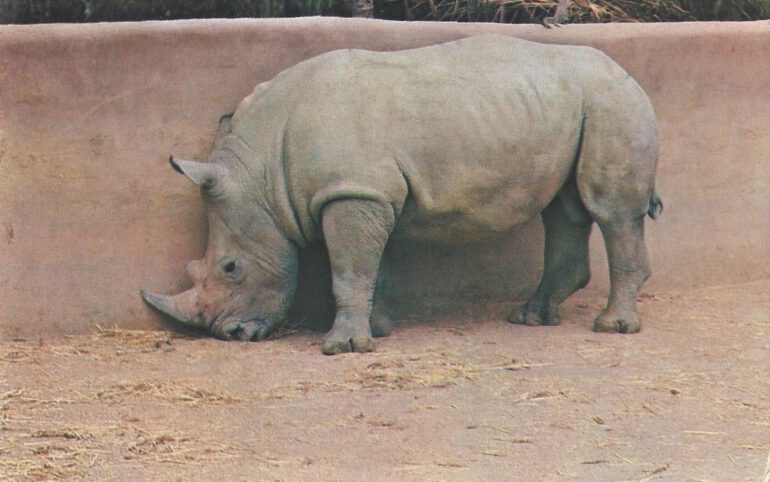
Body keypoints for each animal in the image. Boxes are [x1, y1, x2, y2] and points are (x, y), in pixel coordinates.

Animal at [141, 35, 662, 355]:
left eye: (231, 269)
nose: (230, 334)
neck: (264, 174)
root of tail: (629, 74)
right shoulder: (367, 192)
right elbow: (373, 268)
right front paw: (375, 331)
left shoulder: (352, 192)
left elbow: (349, 270)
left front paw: (342, 347)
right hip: (580, 104)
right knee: (564, 209)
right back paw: (531, 318)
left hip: (614, 102)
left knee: (609, 211)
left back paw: (612, 327)